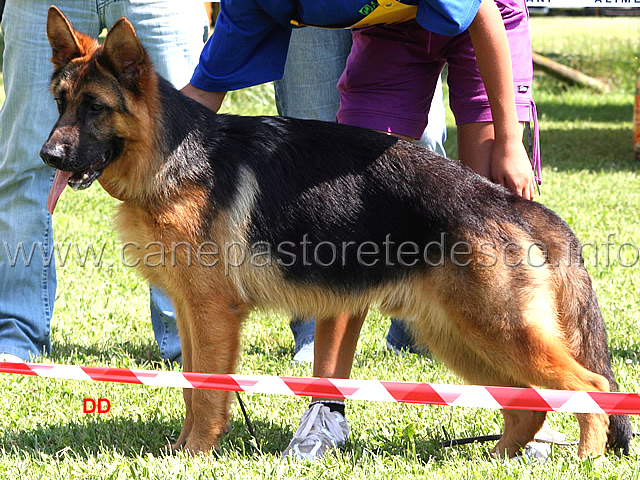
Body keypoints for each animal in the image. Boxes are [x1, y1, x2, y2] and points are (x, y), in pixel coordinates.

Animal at [42, 6, 632, 458]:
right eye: (60, 104)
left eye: (95, 108)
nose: (48, 155)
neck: (171, 155)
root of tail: (509, 202)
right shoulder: (191, 313)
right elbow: (191, 387)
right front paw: (184, 449)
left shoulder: (212, 314)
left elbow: (208, 394)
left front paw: (195, 455)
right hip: (460, 336)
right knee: (525, 403)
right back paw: (502, 457)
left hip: (499, 332)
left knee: (593, 386)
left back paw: (585, 455)